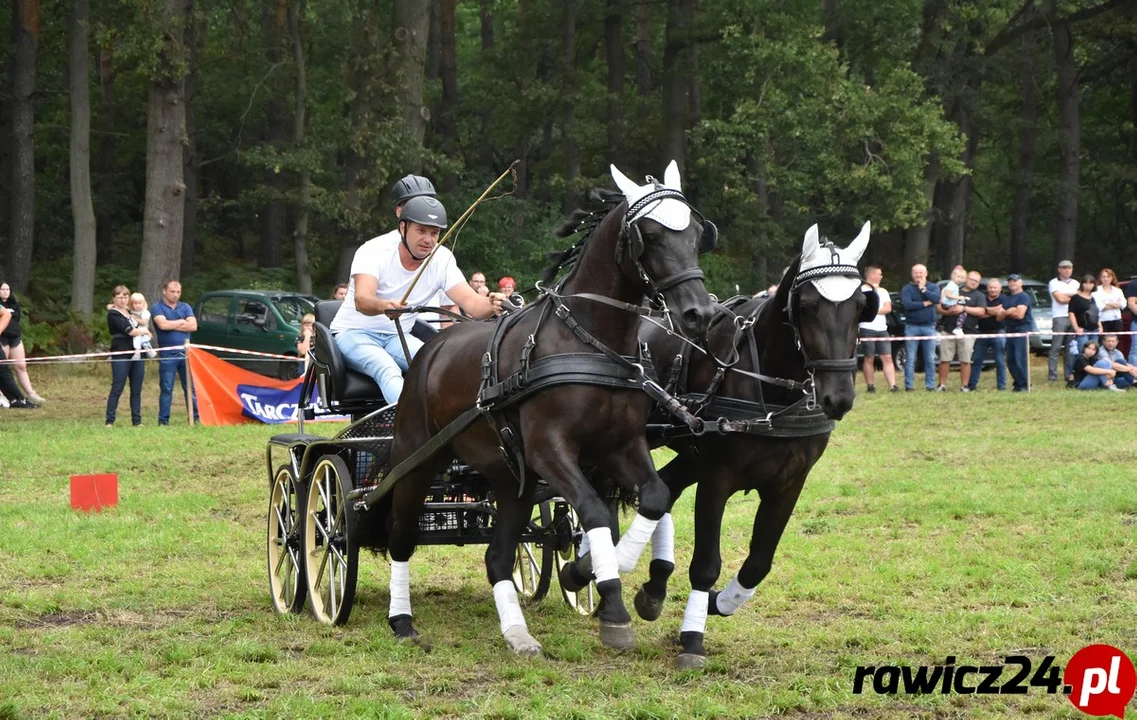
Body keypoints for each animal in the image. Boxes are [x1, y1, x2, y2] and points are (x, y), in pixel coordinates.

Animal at [382, 163, 718, 655]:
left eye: (696, 233)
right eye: (652, 236)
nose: (699, 314)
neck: (589, 341)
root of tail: (433, 345)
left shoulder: (619, 447)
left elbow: (654, 498)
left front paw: (600, 577)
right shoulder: (550, 450)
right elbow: (597, 513)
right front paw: (606, 597)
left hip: (511, 479)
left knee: (498, 556)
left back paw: (517, 633)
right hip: (415, 460)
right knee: (401, 536)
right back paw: (402, 620)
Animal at [563, 221, 873, 664]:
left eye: (862, 306)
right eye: (808, 304)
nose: (839, 397)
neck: (770, 391)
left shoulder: (788, 484)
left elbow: (758, 563)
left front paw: (716, 603)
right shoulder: (717, 478)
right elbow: (706, 564)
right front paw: (693, 637)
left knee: (663, 489)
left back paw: (648, 584)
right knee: (607, 499)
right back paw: (592, 573)